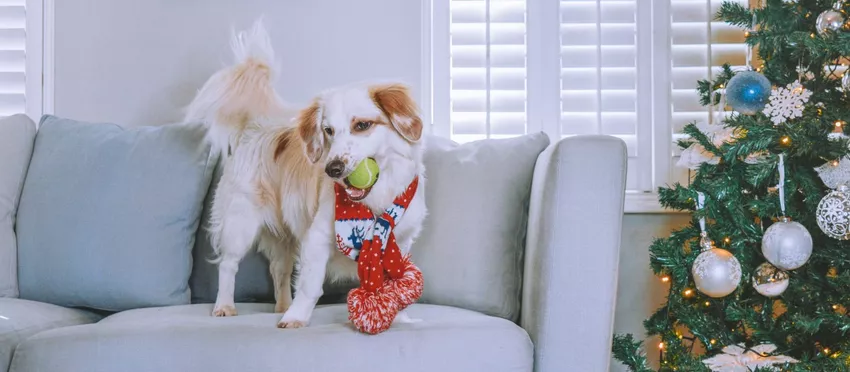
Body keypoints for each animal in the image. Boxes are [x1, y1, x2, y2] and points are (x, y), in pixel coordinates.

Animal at [183, 21, 428, 328]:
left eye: (362, 125)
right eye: (328, 130)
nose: (332, 168)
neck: (376, 202)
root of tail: (253, 128)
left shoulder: (401, 242)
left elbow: (395, 281)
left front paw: (401, 317)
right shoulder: (318, 237)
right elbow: (310, 285)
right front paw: (297, 317)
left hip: (285, 237)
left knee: (280, 270)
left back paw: (281, 305)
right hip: (240, 223)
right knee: (228, 264)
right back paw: (226, 306)